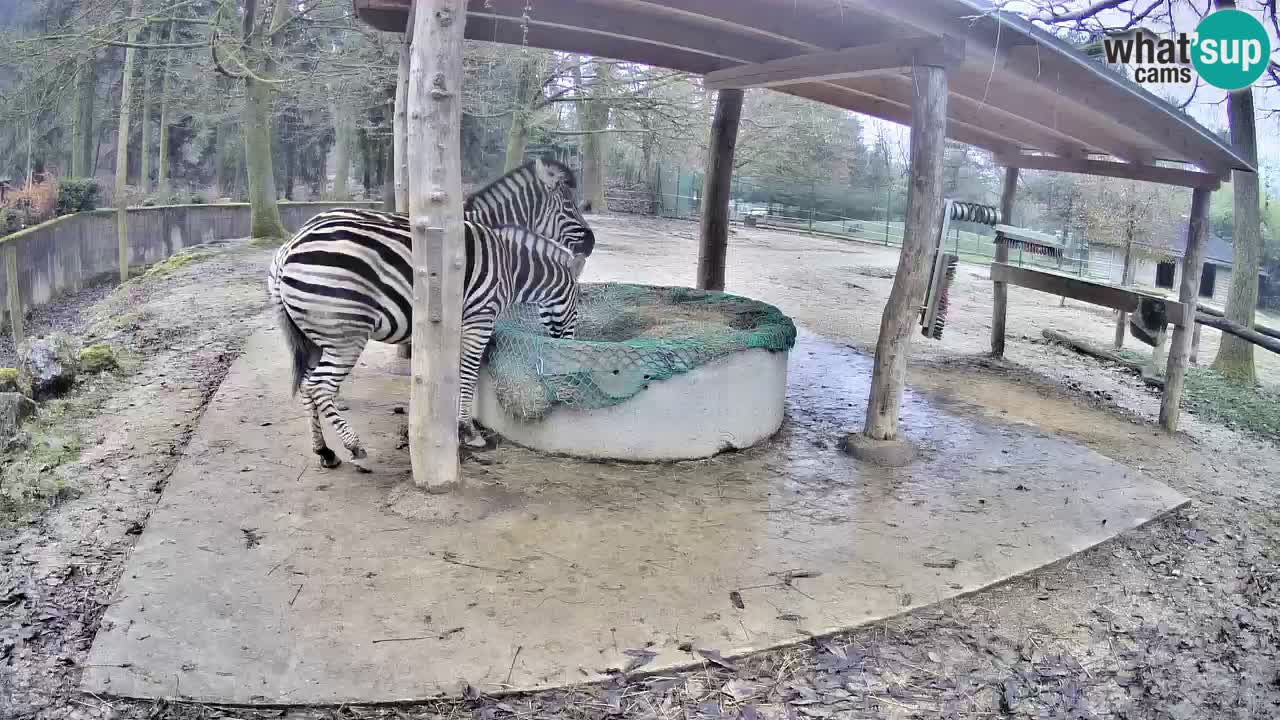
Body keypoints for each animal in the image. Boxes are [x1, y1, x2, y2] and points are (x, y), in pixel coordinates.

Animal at [270, 218, 580, 470]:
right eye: (577, 308)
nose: (568, 346)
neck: (511, 267)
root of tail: (287, 249)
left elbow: (461, 374)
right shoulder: (479, 318)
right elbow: (468, 374)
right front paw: (468, 430)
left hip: (313, 337)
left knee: (306, 386)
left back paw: (325, 451)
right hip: (345, 335)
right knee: (318, 386)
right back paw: (354, 446)